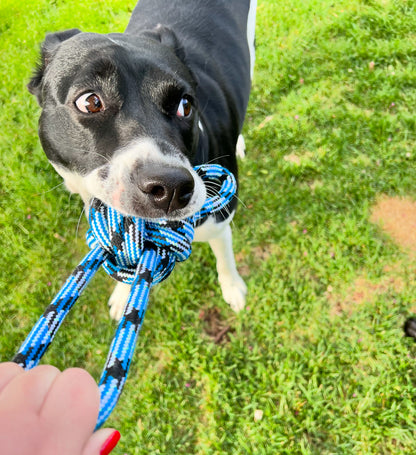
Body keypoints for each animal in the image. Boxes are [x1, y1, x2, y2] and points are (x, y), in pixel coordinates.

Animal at [27, 0, 256, 320]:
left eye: (185, 105)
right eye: (90, 102)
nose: (171, 188)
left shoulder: (220, 222)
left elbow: (224, 257)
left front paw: (233, 288)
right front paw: (124, 294)